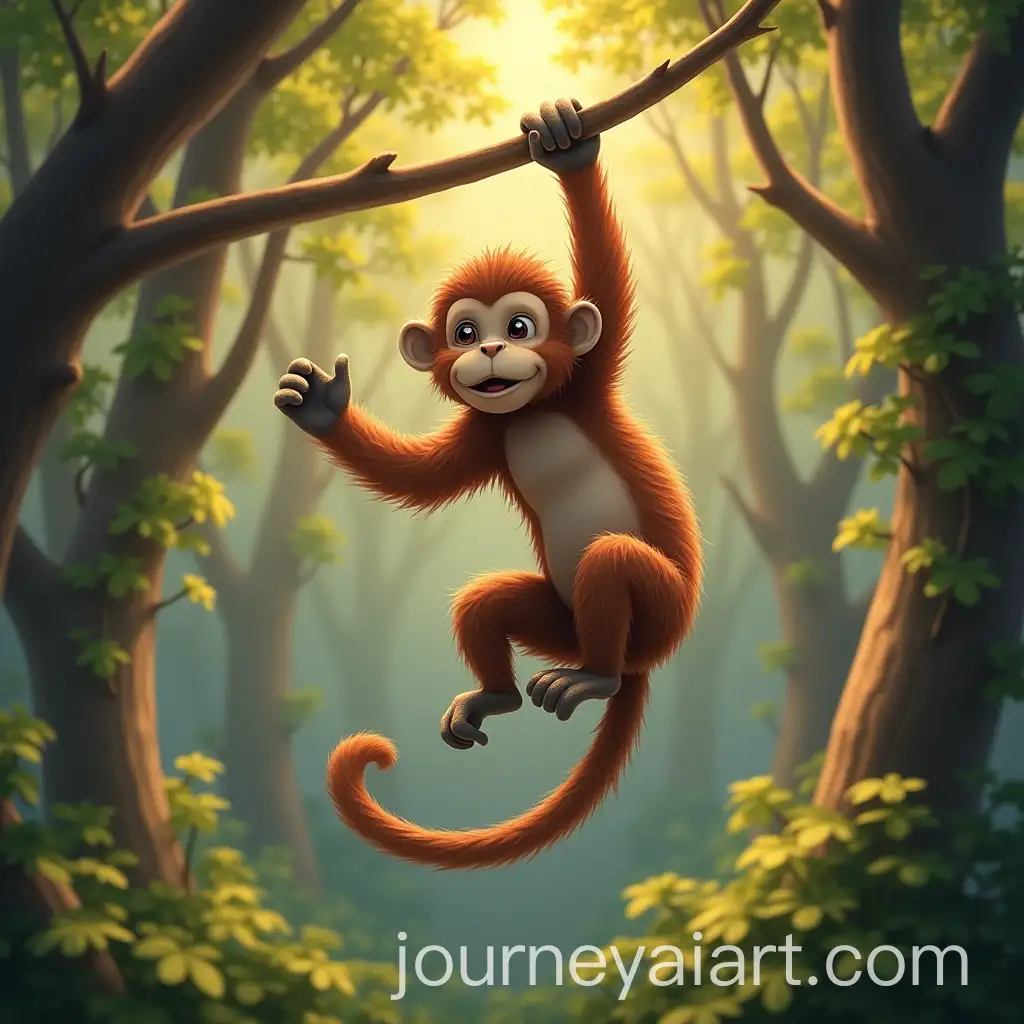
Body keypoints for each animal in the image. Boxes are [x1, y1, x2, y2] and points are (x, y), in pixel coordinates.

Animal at [274, 97, 703, 870]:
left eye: (522, 324)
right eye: (466, 331)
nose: (495, 350)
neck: (530, 410)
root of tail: (638, 660)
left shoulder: (586, 381)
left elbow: (605, 285)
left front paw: (568, 148)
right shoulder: (484, 435)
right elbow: (418, 478)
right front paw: (322, 407)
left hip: (658, 613)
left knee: (611, 561)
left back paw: (594, 680)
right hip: (561, 624)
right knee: (486, 601)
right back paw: (495, 696)